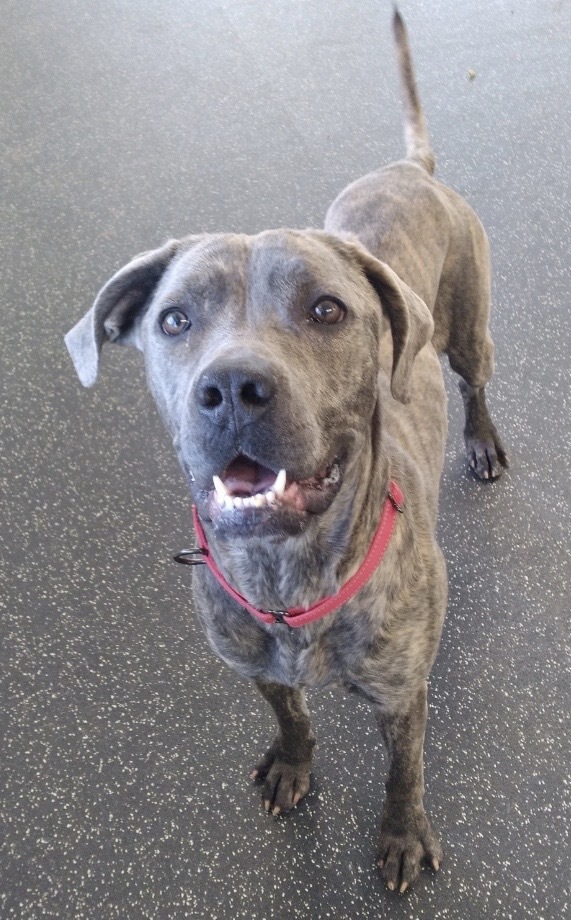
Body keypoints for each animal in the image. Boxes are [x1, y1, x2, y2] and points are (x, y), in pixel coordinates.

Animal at [65, 10, 508, 896]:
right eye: (174, 319)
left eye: (327, 309)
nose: (233, 387)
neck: (288, 574)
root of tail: (409, 169)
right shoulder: (257, 665)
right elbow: (292, 715)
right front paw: (293, 763)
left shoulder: (401, 695)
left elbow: (403, 772)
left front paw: (401, 836)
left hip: (468, 327)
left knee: (476, 381)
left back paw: (482, 442)